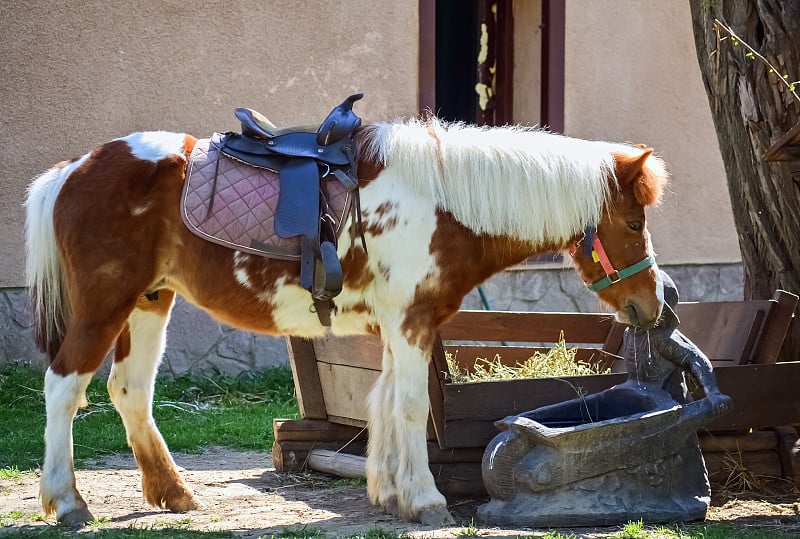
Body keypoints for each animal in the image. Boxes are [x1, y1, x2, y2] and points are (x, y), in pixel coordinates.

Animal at [25, 115, 668, 528]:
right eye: (634, 223)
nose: (657, 301)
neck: (441, 201)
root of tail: (73, 168)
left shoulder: (396, 328)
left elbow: (381, 402)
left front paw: (389, 494)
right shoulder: (412, 322)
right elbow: (410, 406)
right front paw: (425, 500)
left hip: (150, 301)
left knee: (129, 390)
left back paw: (173, 493)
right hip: (105, 305)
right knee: (64, 388)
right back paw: (69, 503)